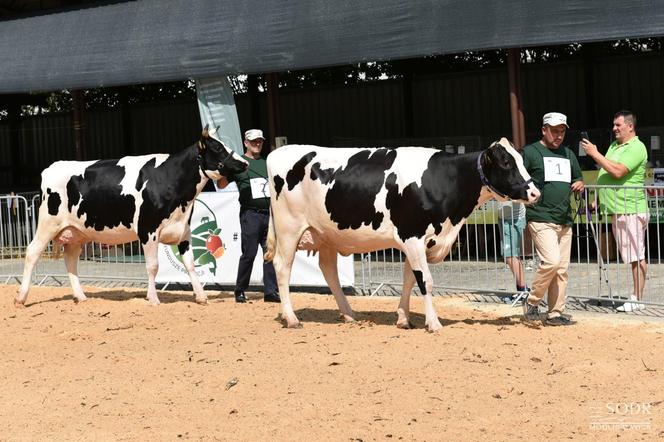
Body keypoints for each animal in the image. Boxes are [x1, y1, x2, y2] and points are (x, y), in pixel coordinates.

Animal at [16, 126, 249, 306]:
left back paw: (80, 296)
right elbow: (153, 266)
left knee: (71, 259)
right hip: (48, 224)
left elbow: (190, 264)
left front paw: (201, 296)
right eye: (218, 147)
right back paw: (21, 297)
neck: (169, 180)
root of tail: (53, 167)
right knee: (32, 252)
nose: (244, 163)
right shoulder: (148, 230)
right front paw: (153, 298)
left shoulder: (184, 231)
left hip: (76, 232)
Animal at [264, 138, 540, 332]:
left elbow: (409, 280)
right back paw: (292, 318)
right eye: (506, 163)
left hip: (326, 234)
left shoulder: (418, 242)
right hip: (289, 229)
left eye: (521, 160)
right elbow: (425, 280)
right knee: (282, 267)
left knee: (328, 270)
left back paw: (349, 314)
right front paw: (433, 323)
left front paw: (404, 319)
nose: (535, 192)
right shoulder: (412, 236)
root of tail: (279, 151)